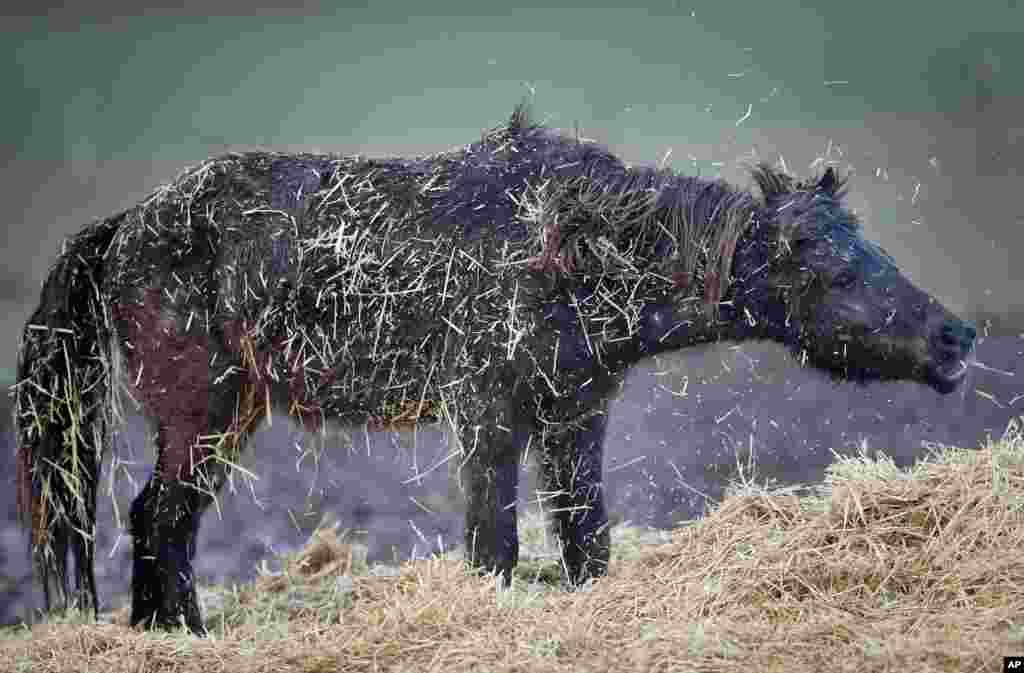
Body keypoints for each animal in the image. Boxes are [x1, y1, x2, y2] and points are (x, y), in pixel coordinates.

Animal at [16, 102, 974, 631]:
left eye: (874, 251)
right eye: (835, 271)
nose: (957, 339)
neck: (570, 242)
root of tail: (125, 226)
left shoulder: (574, 415)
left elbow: (586, 542)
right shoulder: (488, 415)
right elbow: (496, 545)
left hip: (231, 412)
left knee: (161, 521)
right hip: (201, 412)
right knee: (160, 518)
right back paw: (185, 635)